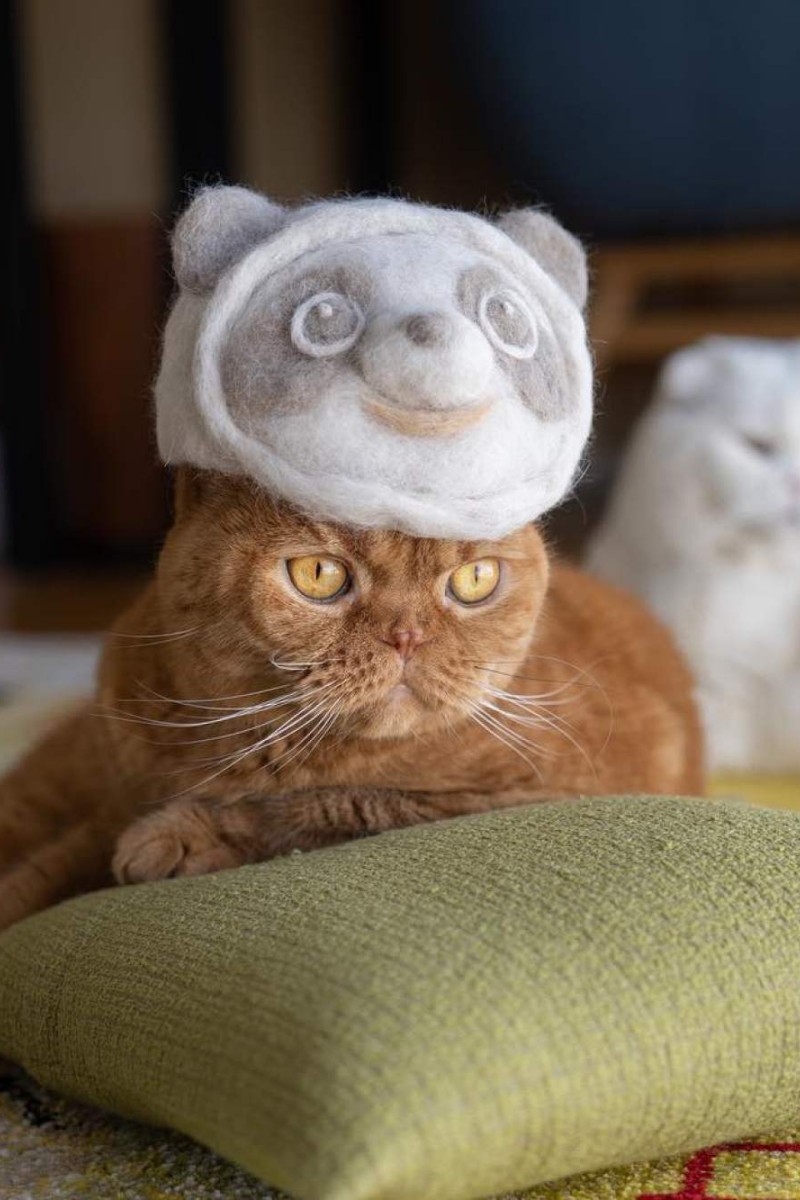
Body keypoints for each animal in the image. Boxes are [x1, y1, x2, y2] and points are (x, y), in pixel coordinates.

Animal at [0, 463, 705, 931]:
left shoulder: (531, 794)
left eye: (475, 579)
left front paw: (176, 838)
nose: (407, 636)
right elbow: (50, 866)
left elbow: (337, 805)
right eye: (319, 574)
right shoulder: (103, 799)